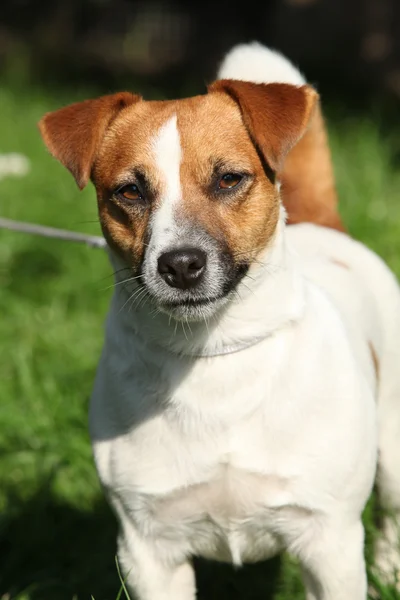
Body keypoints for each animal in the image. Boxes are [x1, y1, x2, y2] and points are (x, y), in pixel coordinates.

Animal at [38, 43, 400, 600]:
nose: (181, 265)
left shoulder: (329, 542)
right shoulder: (149, 550)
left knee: (391, 516)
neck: (212, 353)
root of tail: (325, 226)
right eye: (130, 192)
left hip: (393, 449)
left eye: (229, 179)